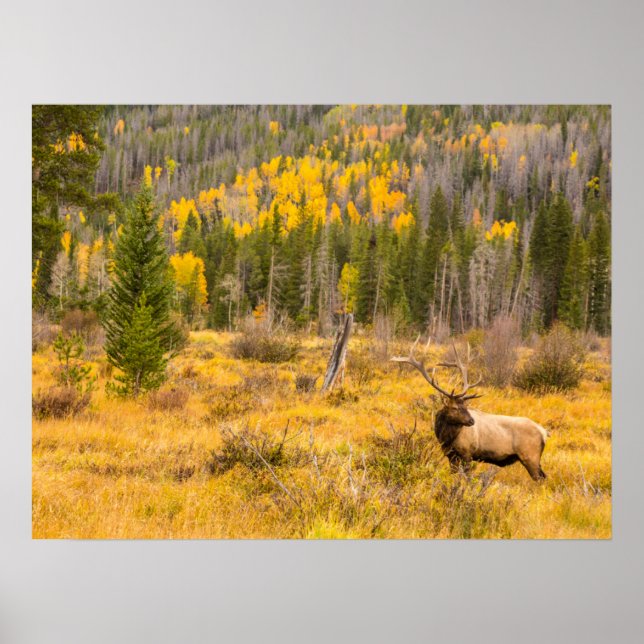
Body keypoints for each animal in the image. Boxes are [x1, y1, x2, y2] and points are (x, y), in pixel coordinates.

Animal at [391, 338, 548, 481]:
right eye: (455, 407)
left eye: (466, 406)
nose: (471, 421)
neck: (446, 438)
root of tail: (544, 432)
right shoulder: (450, 455)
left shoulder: (467, 453)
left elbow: (466, 476)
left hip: (530, 456)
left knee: (540, 478)